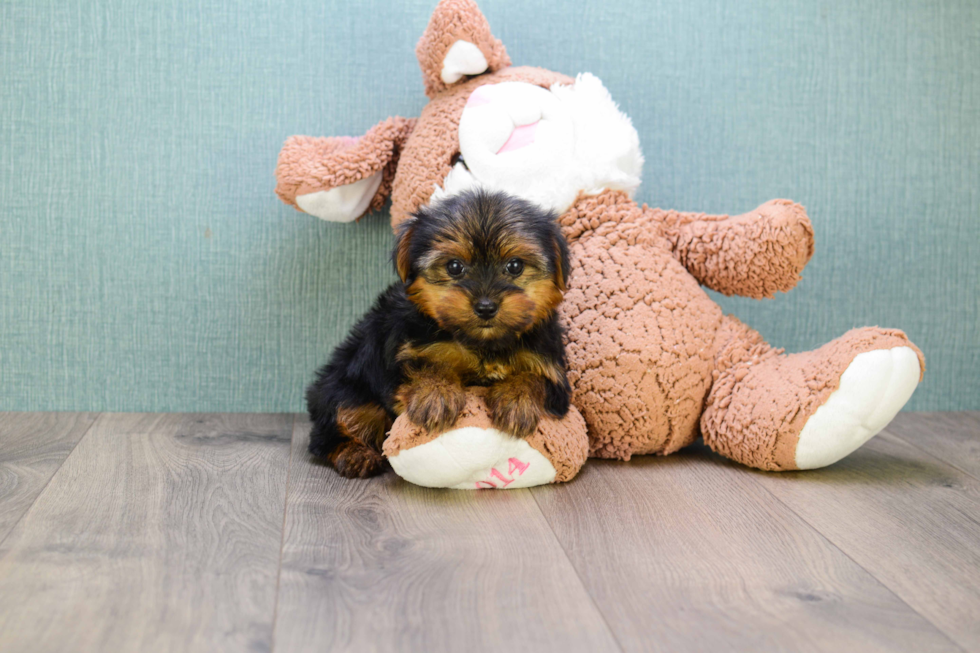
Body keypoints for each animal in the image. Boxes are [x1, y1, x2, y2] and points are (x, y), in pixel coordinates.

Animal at [302, 188, 572, 478]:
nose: (486, 307)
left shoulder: (553, 371)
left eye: (514, 266)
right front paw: (436, 394)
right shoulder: (402, 352)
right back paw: (355, 453)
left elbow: (536, 378)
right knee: (337, 424)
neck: (482, 343)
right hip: (343, 387)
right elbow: (425, 365)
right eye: (454, 267)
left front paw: (517, 398)